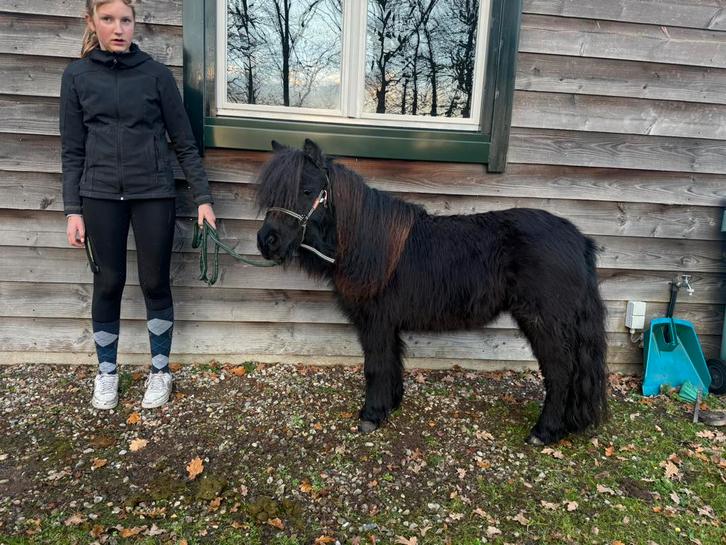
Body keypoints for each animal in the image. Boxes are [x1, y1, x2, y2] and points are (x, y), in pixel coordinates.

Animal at [255, 139, 608, 445]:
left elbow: (375, 365)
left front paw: (371, 415)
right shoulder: (387, 324)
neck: (370, 244)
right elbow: (392, 361)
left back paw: (544, 431)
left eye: (306, 190)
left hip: (543, 322)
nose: (267, 241)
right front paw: (390, 404)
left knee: (560, 373)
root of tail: (579, 240)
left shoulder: (375, 322)